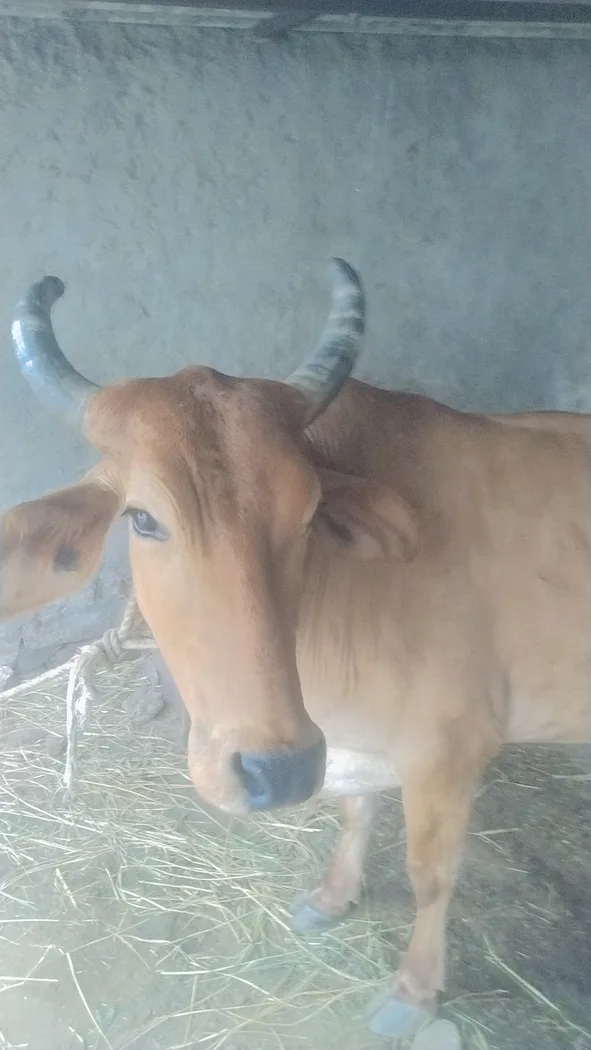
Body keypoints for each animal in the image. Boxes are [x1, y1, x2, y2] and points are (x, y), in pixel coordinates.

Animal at [0, 261, 589, 1038]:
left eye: (309, 512)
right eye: (142, 519)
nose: (274, 771)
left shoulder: (450, 748)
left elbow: (430, 874)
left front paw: (413, 992)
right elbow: (355, 813)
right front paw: (333, 896)